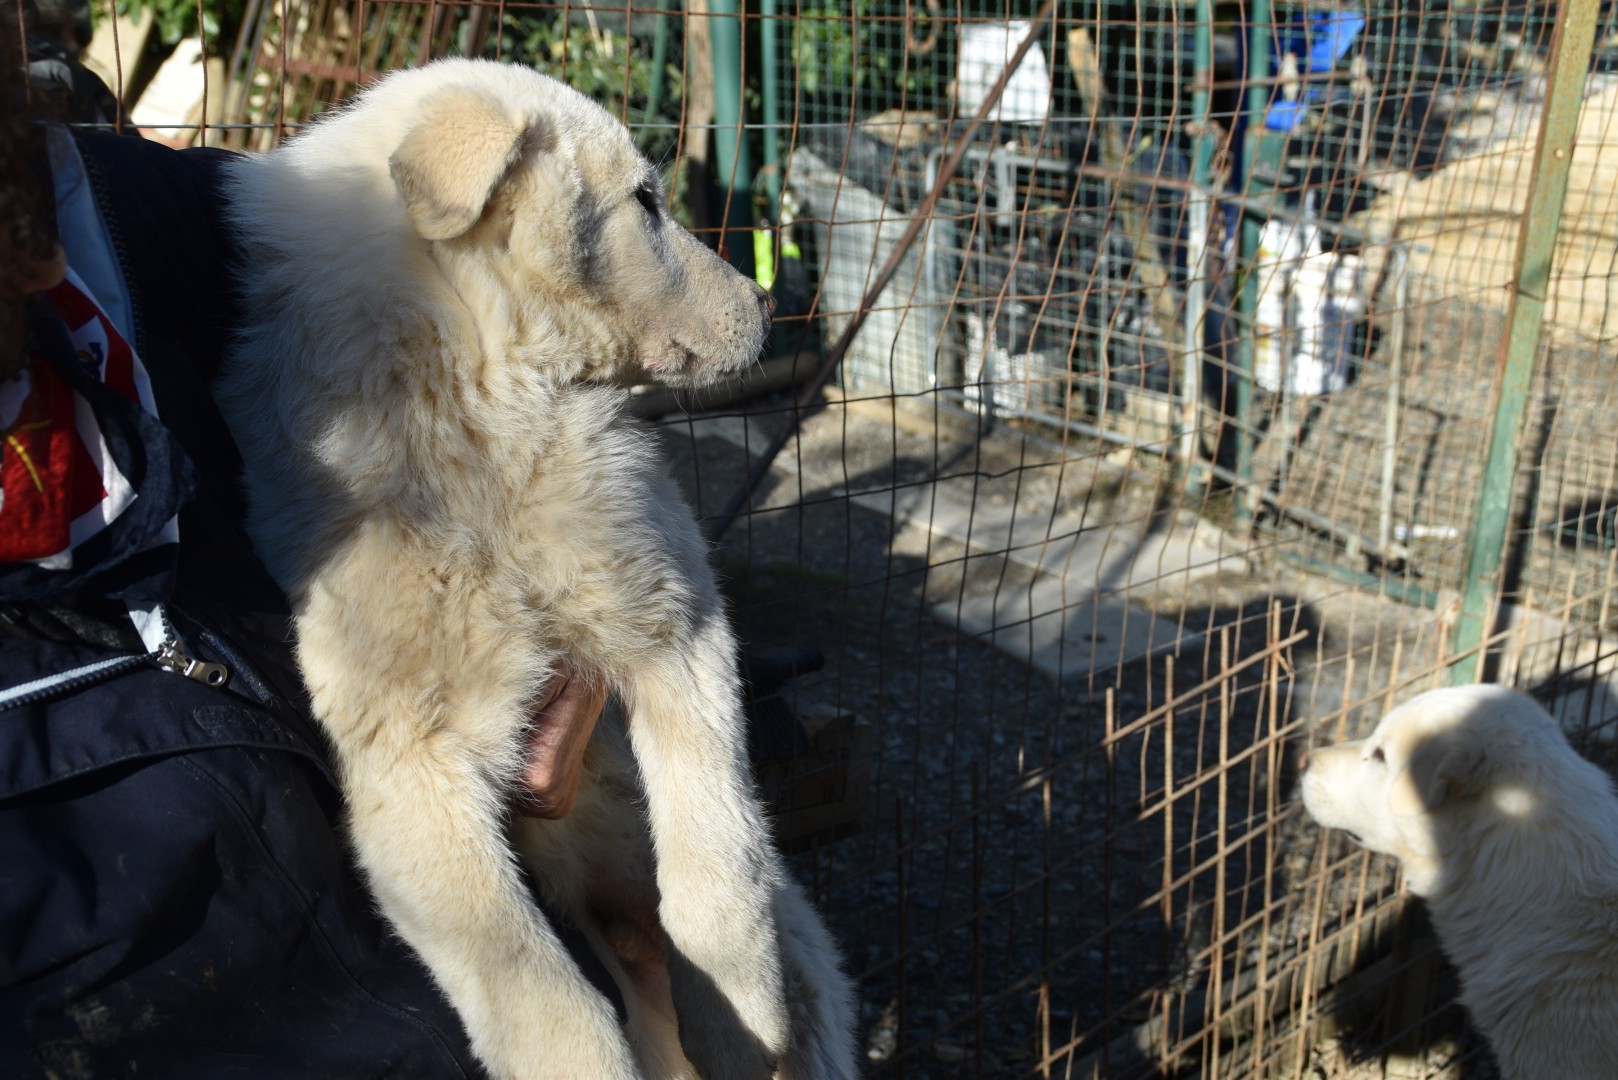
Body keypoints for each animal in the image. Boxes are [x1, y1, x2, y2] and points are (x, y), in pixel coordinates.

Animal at [216, 59, 855, 1079]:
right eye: (646, 201)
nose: (769, 307)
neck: (494, 419)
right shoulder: (410, 765)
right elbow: (551, 1008)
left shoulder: (680, 626)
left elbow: (716, 871)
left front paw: (744, 1025)